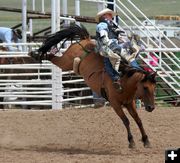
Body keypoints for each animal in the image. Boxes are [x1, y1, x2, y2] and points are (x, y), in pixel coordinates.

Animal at [28, 24, 156, 148]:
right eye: (145, 87)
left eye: (154, 88)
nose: (151, 107)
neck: (124, 81)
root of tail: (86, 40)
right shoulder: (115, 104)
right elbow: (126, 121)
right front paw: (131, 141)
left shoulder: (130, 102)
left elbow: (138, 120)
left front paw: (146, 140)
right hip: (65, 62)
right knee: (53, 57)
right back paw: (34, 54)